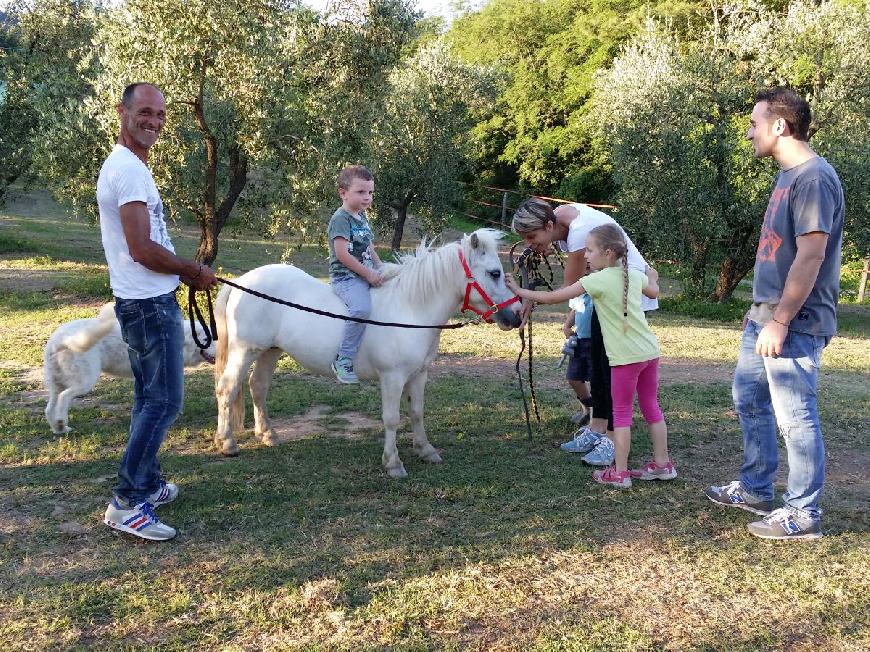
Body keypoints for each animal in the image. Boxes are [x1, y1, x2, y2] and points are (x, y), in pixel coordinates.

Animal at [43, 304, 217, 436]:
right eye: (206, 340)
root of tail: (60, 341)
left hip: (56, 384)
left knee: (49, 408)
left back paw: (59, 428)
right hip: (84, 381)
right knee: (64, 398)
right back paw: (61, 422)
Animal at [215, 227, 524, 476]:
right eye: (494, 273)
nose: (517, 315)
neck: (410, 308)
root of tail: (242, 282)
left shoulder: (419, 375)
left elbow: (417, 412)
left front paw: (426, 450)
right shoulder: (392, 378)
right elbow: (391, 419)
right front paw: (393, 463)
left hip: (270, 351)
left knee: (258, 386)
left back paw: (268, 434)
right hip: (245, 351)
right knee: (227, 389)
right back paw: (227, 442)